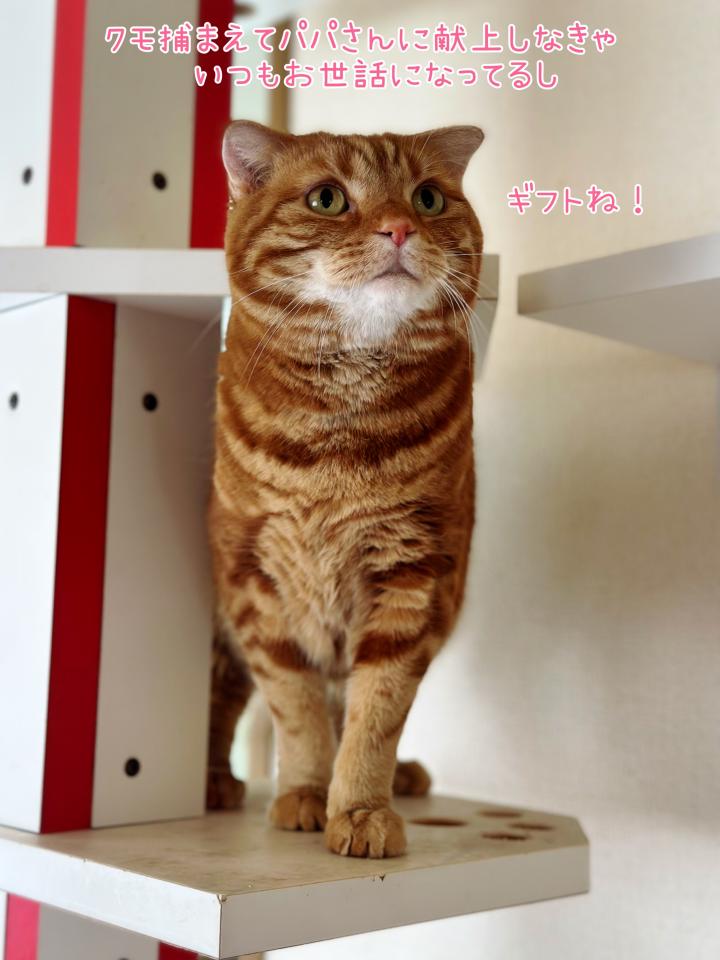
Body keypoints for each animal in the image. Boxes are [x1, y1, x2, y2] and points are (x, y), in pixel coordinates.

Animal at [207, 120, 484, 858]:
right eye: (327, 198)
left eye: (428, 198)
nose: (399, 228)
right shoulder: (256, 585)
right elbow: (296, 707)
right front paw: (304, 793)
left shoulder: (413, 576)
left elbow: (376, 713)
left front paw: (359, 807)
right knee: (223, 695)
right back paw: (216, 782)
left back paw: (405, 777)